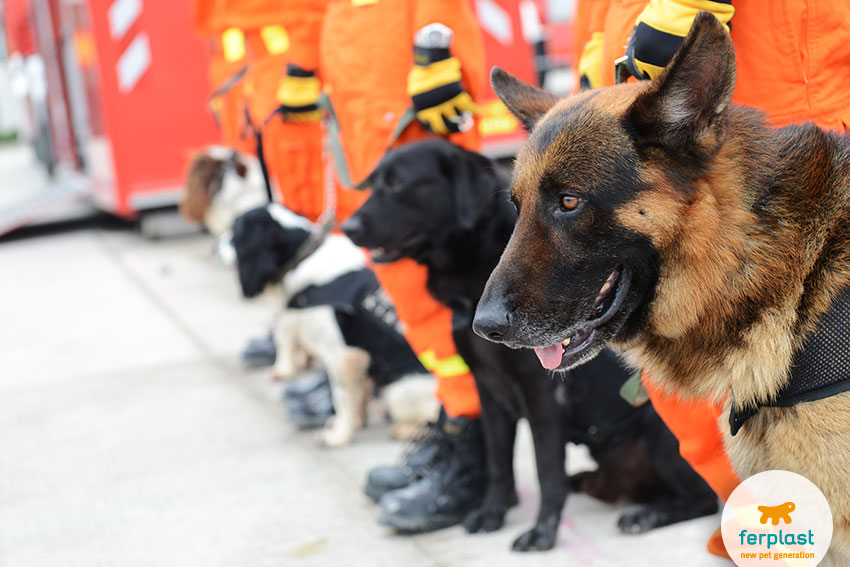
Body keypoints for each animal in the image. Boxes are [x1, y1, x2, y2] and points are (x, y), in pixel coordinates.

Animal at [232, 204, 438, 448]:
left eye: (235, 233)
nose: (217, 248)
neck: (302, 257)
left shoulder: (342, 357)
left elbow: (343, 399)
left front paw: (341, 435)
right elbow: (356, 396)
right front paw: (355, 422)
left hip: (399, 391)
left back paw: (407, 430)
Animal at [342, 140, 720, 552]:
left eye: (397, 184)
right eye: (374, 182)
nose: (347, 227)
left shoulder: (543, 397)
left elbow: (546, 472)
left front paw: (542, 533)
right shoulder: (489, 392)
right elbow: (498, 462)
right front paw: (492, 513)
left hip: (660, 434)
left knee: (704, 499)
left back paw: (647, 515)